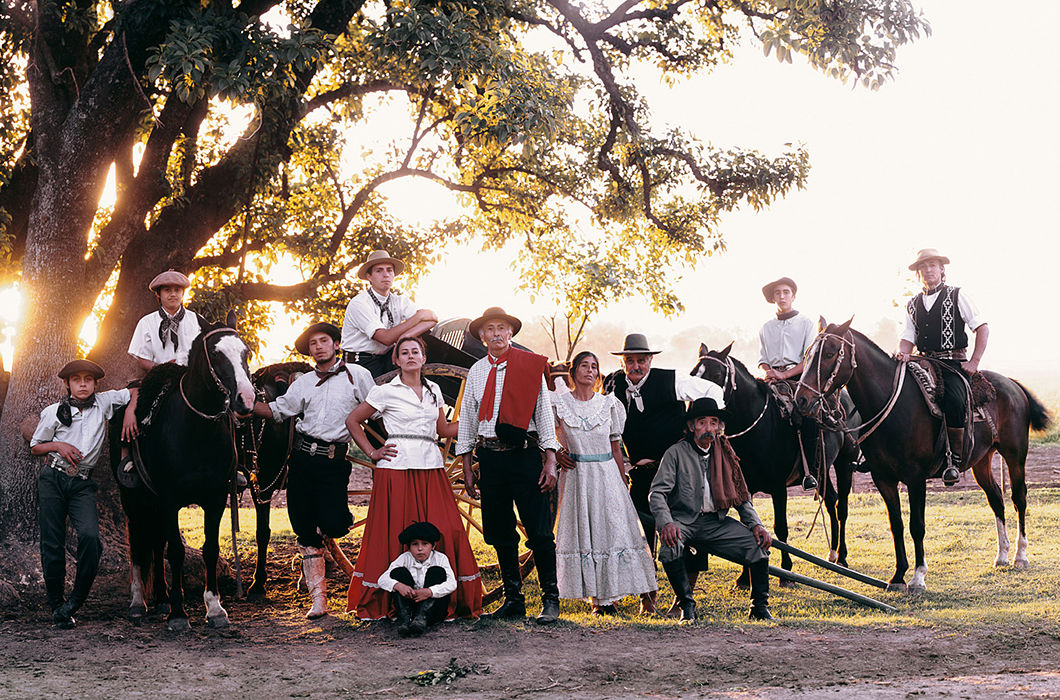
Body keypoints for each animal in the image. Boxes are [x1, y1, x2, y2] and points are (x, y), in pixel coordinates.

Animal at [115, 313, 255, 632]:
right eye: (215, 354)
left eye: (246, 352)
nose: (246, 400)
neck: (197, 430)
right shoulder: (169, 499)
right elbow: (176, 552)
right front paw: (178, 614)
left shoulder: (215, 498)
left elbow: (210, 549)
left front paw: (214, 608)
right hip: (133, 500)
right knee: (138, 546)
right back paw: (138, 602)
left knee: (156, 544)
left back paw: (161, 598)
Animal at [695, 339, 860, 581]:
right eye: (693, 373)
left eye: (716, 374)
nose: (697, 407)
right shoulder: (745, 487)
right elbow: (749, 527)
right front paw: (744, 577)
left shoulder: (778, 486)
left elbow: (780, 526)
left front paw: (786, 571)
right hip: (821, 470)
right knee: (831, 500)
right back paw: (832, 553)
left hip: (844, 464)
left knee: (842, 506)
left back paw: (843, 556)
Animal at [792, 320, 1047, 589]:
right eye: (808, 354)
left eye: (830, 353)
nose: (801, 399)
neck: (893, 406)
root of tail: (1011, 383)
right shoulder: (884, 479)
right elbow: (896, 524)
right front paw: (897, 576)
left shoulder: (915, 479)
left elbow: (917, 525)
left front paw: (917, 576)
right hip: (982, 461)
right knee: (996, 498)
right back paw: (1002, 555)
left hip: (1015, 455)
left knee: (1019, 498)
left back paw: (1020, 554)